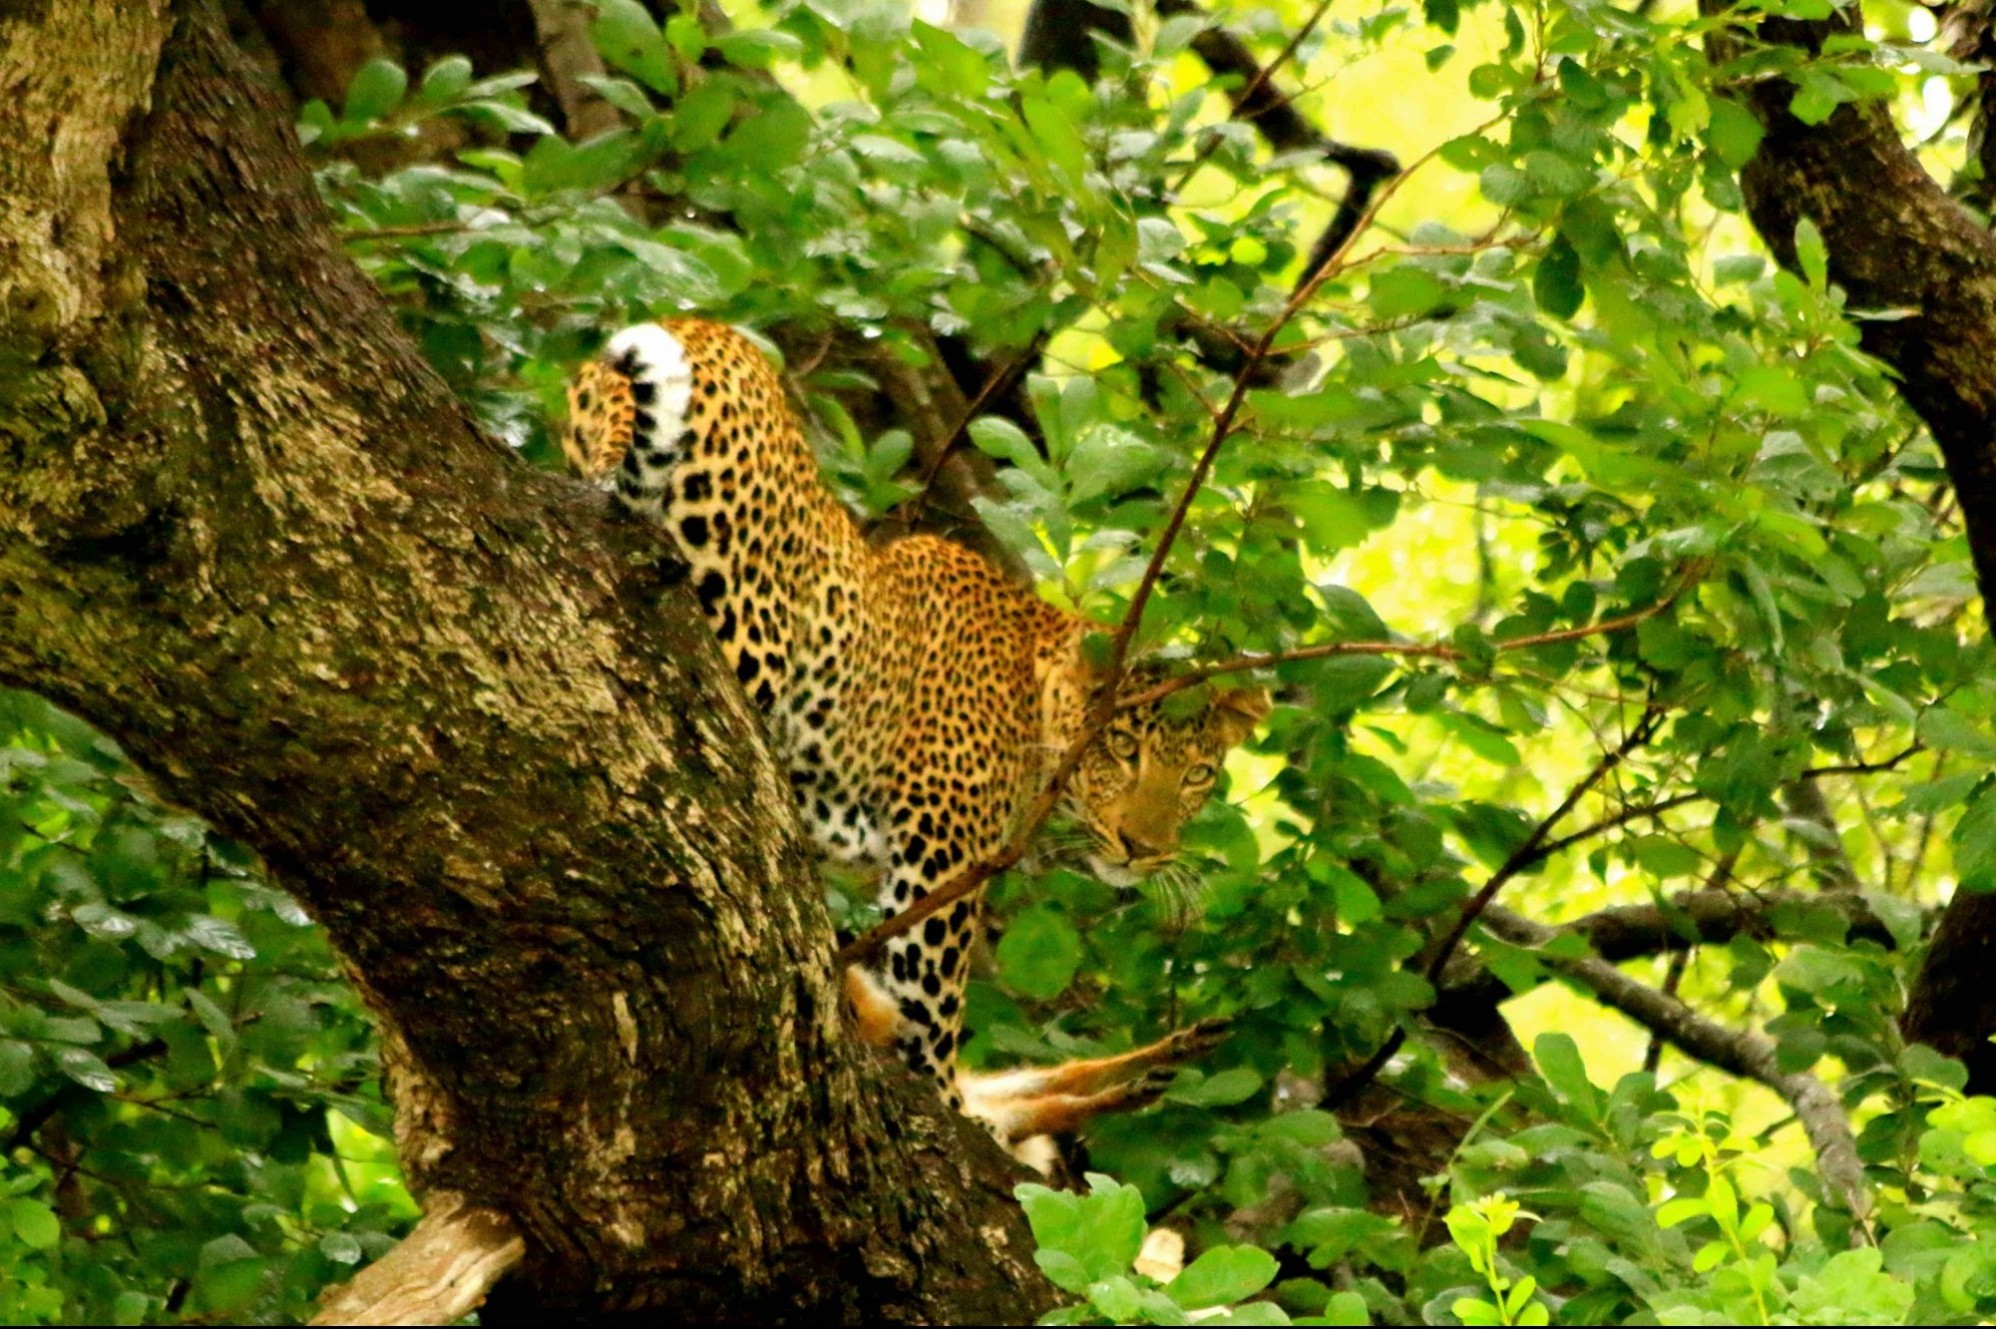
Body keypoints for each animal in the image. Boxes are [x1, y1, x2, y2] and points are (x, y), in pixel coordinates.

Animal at [566, 321, 1261, 1149]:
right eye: (1123, 750)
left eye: (1197, 775)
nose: (1143, 848)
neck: (1031, 690)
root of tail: (701, 330)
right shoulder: (940, 847)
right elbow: (935, 994)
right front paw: (945, 1101)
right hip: (744, 622)